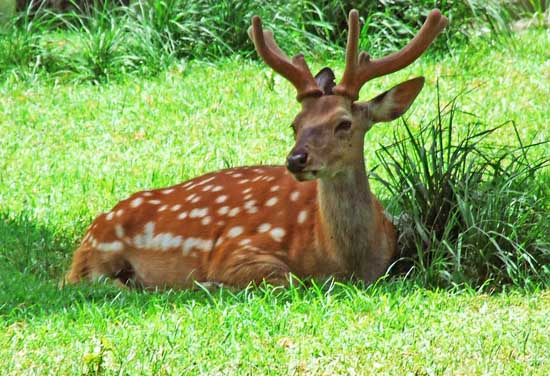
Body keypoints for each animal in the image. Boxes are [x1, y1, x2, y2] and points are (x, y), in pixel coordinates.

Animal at [66, 9, 448, 290]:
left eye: (344, 123)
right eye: (295, 123)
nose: (296, 159)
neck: (345, 261)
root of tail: (92, 227)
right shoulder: (236, 249)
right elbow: (291, 280)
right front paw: (212, 284)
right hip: (96, 255)